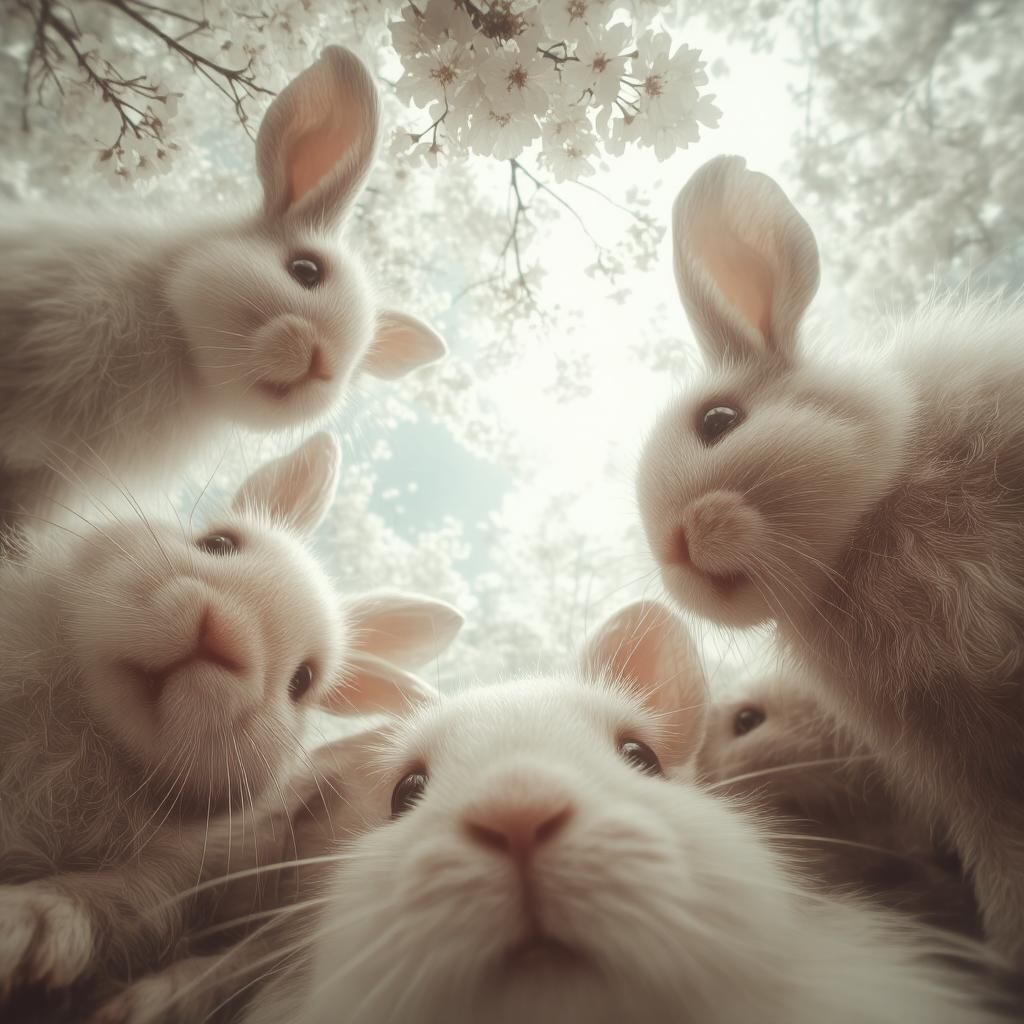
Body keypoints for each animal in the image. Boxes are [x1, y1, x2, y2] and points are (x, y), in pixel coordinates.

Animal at [0, 430, 464, 1012]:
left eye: (302, 681)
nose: (223, 635)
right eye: (217, 544)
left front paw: (25, 932)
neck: (97, 734)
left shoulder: (188, 869)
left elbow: (113, 904)